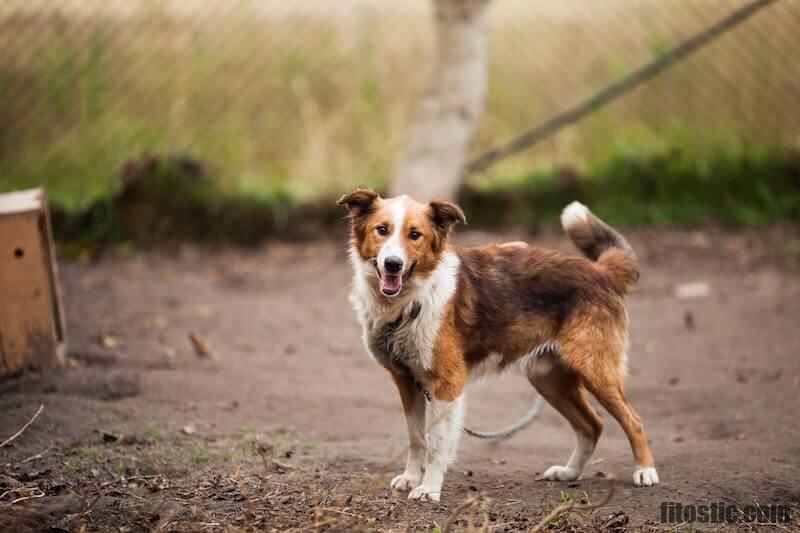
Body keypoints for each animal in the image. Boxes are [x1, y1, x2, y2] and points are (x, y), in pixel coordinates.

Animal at [338, 189, 656, 500]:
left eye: (415, 235)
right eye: (382, 230)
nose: (393, 264)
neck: (412, 300)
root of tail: (600, 272)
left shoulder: (447, 384)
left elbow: (437, 442)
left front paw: (429, 488)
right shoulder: (406, 380)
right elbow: (416, 437)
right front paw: (411, 477)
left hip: (595, 370)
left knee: (633, 420)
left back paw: (645, 471)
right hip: (548, 379)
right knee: (592, 424)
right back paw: (570, 472)